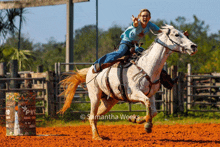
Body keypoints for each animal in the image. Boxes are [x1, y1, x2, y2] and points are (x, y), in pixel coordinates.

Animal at [58, 25, 198, 140]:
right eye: (176, 34)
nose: (194, 46)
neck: (147, 67)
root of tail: (89, 71)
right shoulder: (135, 93)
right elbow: (147, 103)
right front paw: (147, 126)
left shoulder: (151, 94)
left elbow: (153, 111)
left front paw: (135, 119)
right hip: (94, 96)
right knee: (92, 116)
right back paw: (97, 137)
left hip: (109, 101)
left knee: (95, 116)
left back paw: (97, 135)